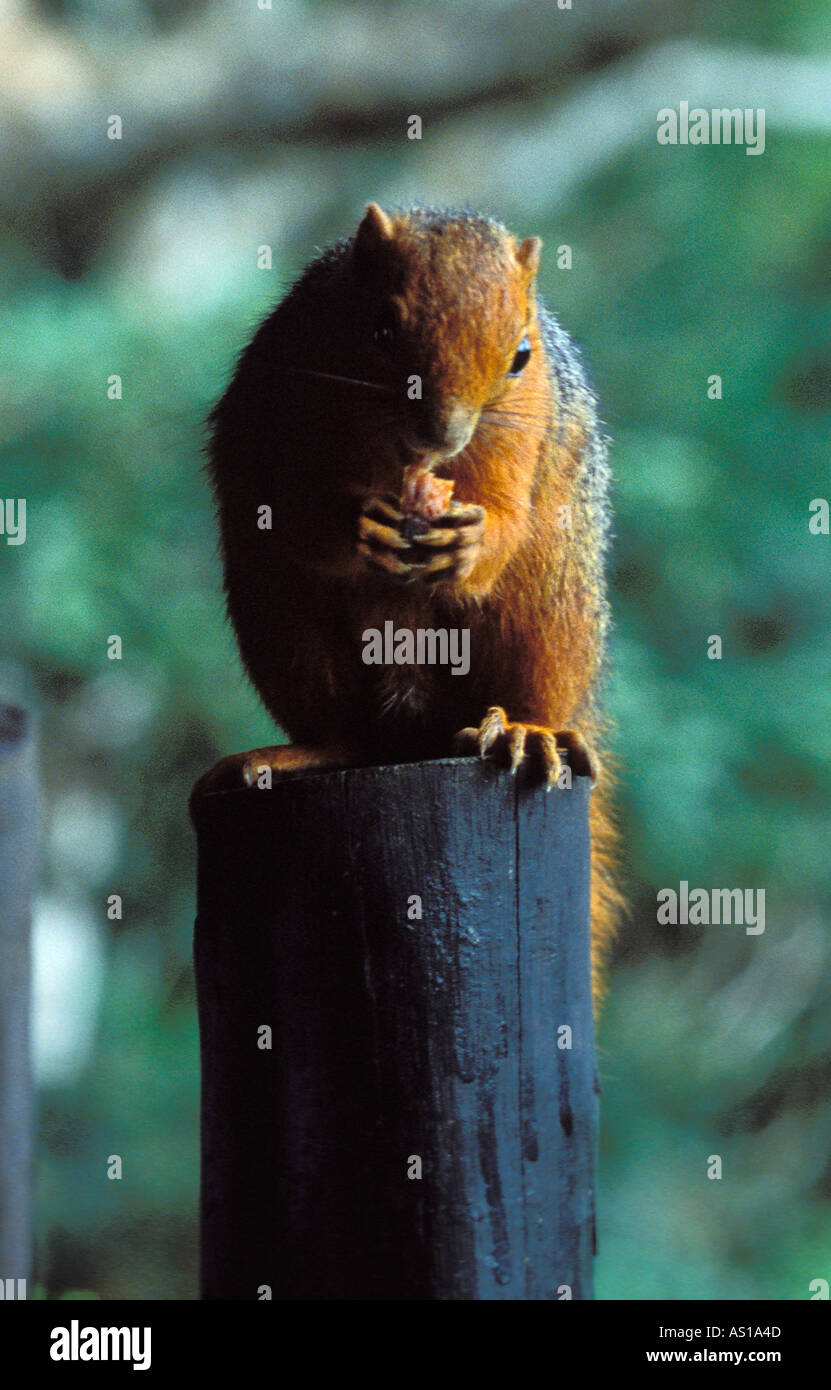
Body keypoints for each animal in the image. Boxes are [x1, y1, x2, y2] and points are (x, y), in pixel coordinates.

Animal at [197, 198, 625, 1000]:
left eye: (521, 356)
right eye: (380, 331)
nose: (442, 435)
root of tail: (415, 728)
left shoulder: (525, 428)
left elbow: (506, 520)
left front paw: (468, 543)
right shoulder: (281, 402)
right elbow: (293, 515)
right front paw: (356, 523)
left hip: (551, 616)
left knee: (535, 679)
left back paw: (529, 733)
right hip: (284, 625)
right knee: (343, 732)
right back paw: (303, 751)